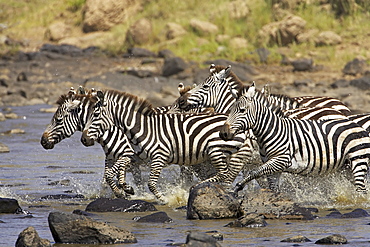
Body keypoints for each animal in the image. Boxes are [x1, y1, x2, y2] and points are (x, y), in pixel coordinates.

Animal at [79, 89, 250, 204]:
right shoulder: (132, 156)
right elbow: (116, 175)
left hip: (215, 151)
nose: (84, 140)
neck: (143, 129)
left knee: (223, 173)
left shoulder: (158, 157)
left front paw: (163, 199)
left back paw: (196, 187)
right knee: (222, 174)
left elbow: (150, 183)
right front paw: (126, 191)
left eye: (95, 115)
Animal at [220, 83, 370, 195]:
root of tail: (356, 124)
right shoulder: (273, 166)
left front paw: (238, 187)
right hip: (346, 166)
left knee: (361, 190)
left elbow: (254, 172)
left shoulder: (281, 160)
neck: (272, 131)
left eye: (242, 110)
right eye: (230, 110)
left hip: (358, 160)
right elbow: (273, 188)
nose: (223, 133)